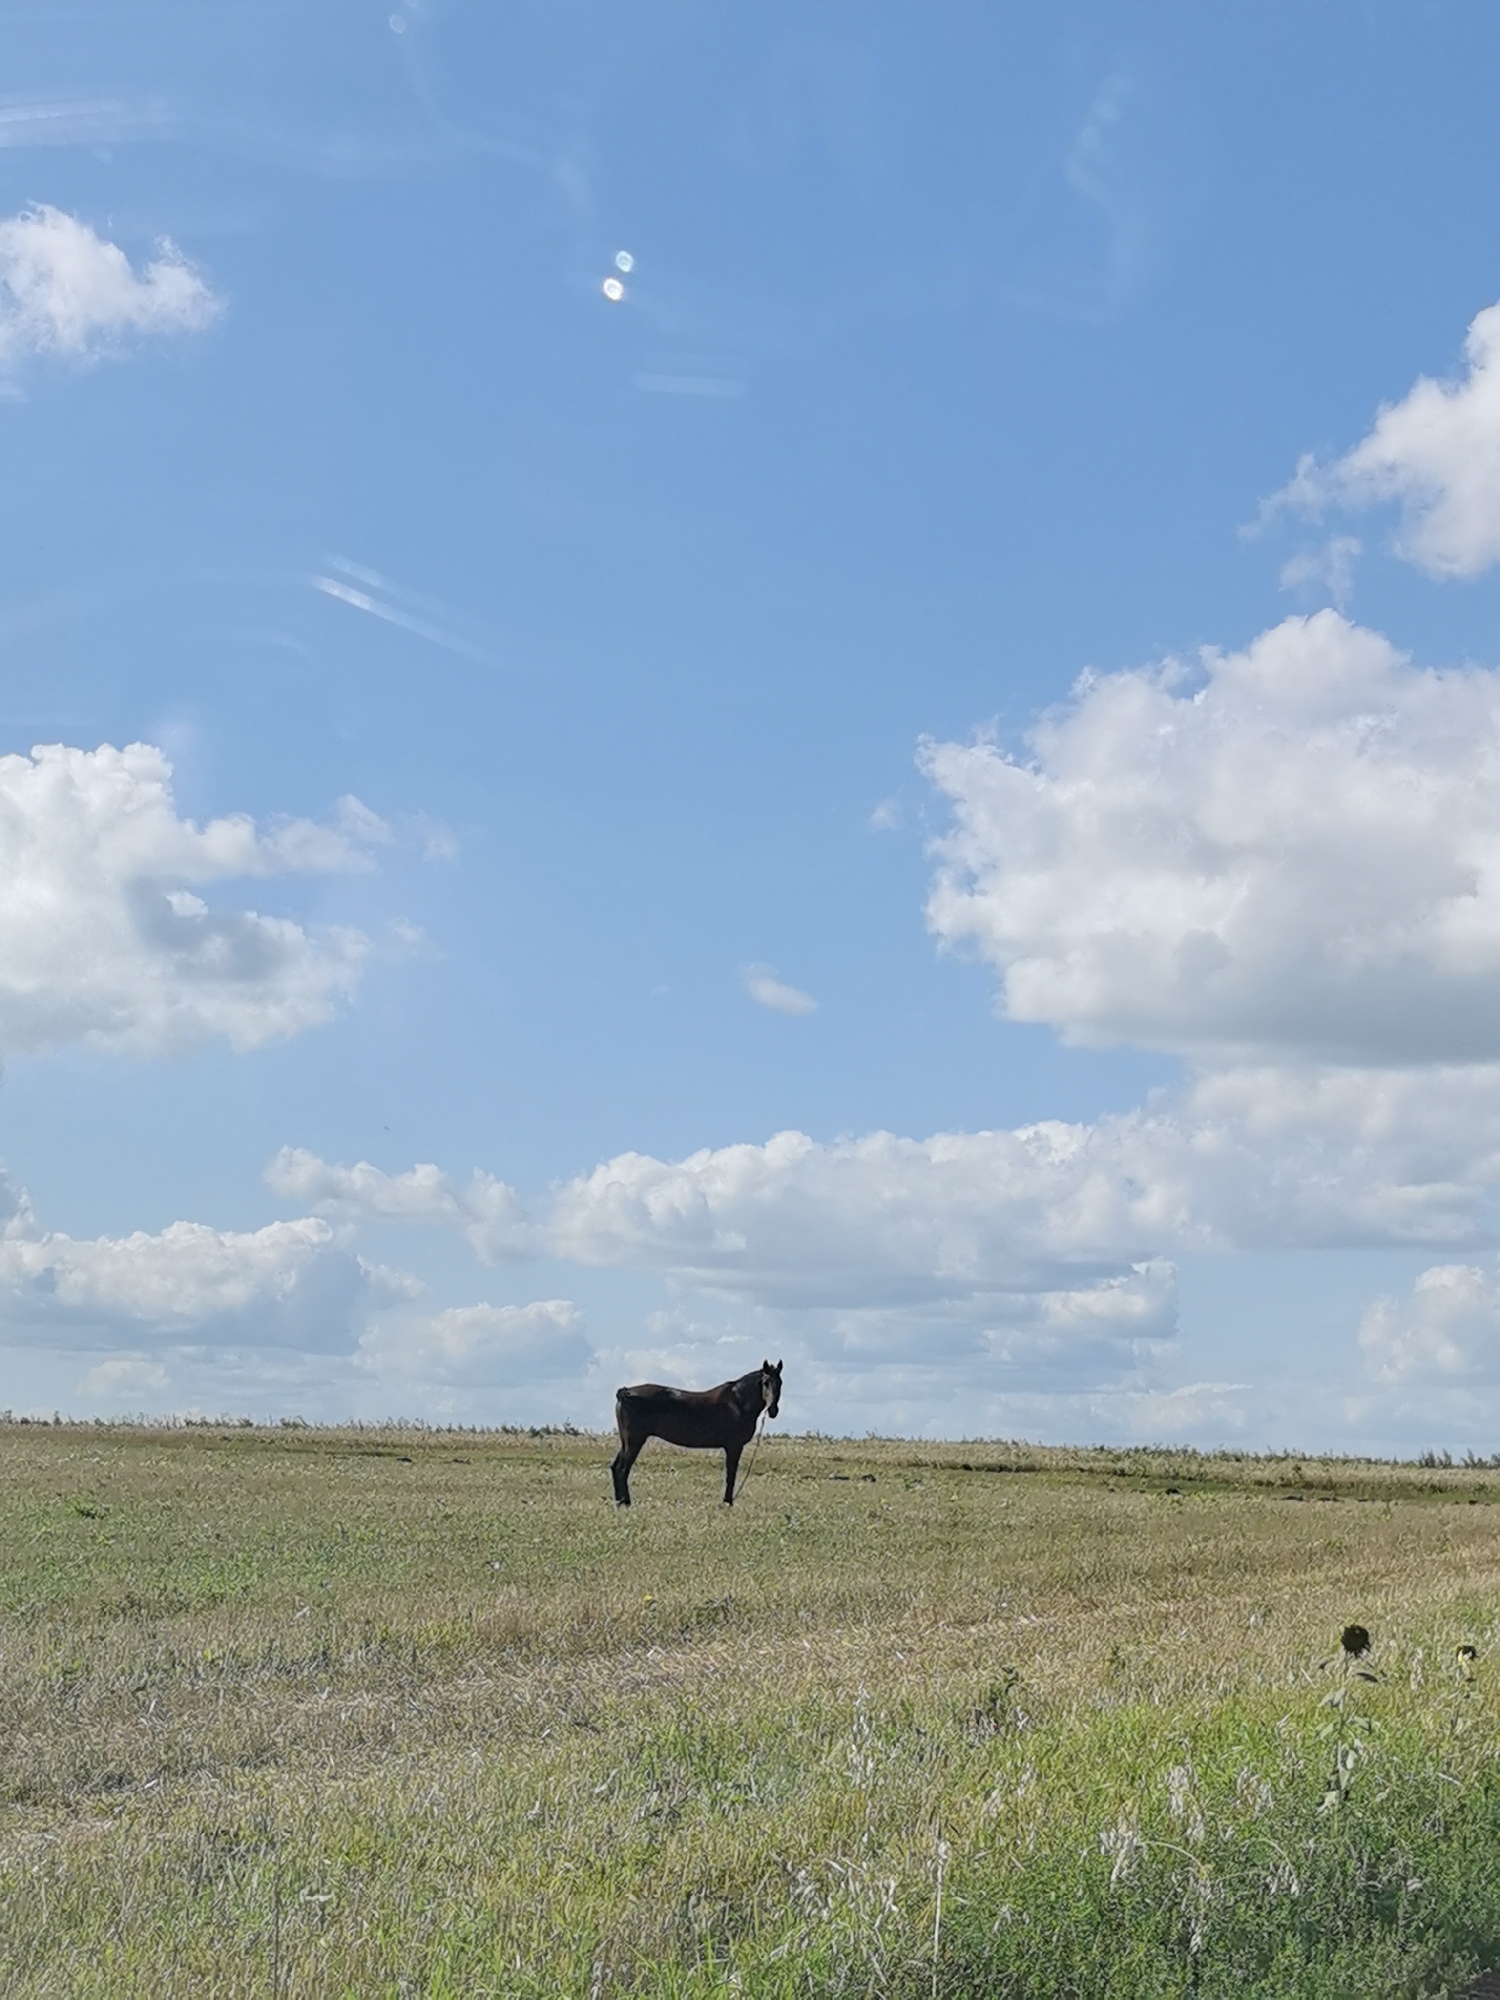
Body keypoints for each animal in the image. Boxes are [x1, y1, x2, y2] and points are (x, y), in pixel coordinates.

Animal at [611, 1359, 782, 1506]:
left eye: (780, 1382)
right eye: (765, 1383)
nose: (773, 1411)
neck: (738, 1402)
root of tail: (625, 1393)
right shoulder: (734, 1446)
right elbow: (731, 1475)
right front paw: (727, 1502)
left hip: (626, 1442)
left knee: (616, 1467)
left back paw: (620, 1502)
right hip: (634, 1441)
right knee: (622, 1468)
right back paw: (625, 1503)